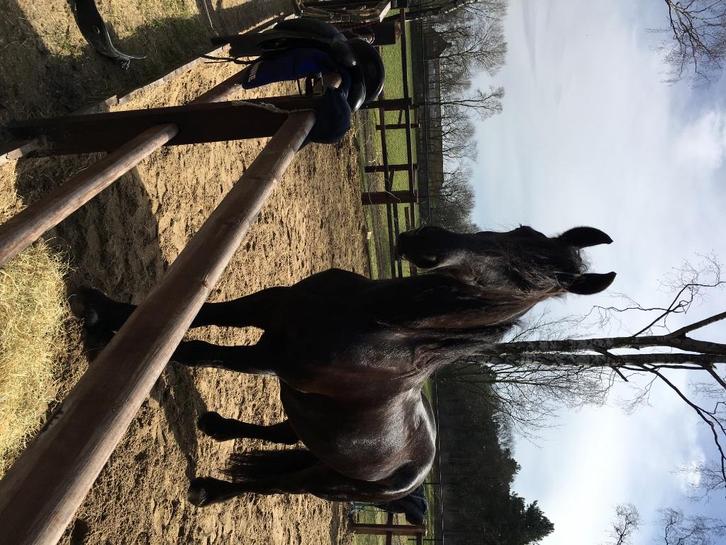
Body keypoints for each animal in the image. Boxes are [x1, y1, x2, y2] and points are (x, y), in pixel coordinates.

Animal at [72, 225, 615, 507]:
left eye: (528, 280)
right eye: (521, 231)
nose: (427, 239)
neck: (374, 324)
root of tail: (418, 473)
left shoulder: (272, 359)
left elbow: (196, 348)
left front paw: (111, 338)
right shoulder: (272, 307)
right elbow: (206, 313)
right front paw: (102, 309)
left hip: (327, 481)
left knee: (277, 484)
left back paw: (211, 490)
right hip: (316, 433)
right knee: (285, 436)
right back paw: (218, 427)